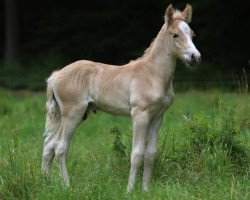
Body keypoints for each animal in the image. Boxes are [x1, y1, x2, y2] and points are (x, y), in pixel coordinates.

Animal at [41, 3, 201, 191]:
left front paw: (145, 190)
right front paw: (130, 190)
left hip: (67, 115)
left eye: (192, 34)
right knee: (60, 147)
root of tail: (55, 76)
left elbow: (150, 154)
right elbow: (137, 153)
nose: (195, 57)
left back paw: (45, 183)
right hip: (72, 114)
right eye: (174, 34)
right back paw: (67, 186)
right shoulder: (140, 115)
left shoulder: (157, 117)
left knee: (49, 145)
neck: (153, 74)